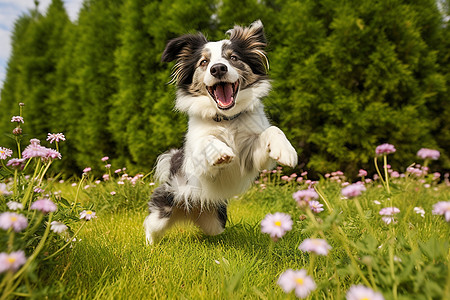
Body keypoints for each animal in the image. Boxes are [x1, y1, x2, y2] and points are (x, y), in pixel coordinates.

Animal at [145, 19, 298, 244]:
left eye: (233, 58)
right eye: (203, 62)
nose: (217, 69)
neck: (226, 119)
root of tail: (189, 210)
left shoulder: (250, 157)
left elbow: (272, 130)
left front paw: (286, 152)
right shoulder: (199, 164)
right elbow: (206, 140)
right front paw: (221, 153)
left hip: (216, 221)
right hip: (164, 207)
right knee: (151, 225)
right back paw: (150, 245)